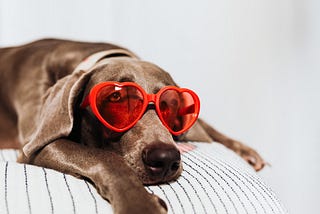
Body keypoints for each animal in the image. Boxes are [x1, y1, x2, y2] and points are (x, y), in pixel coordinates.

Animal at [0, 38, 264, 214]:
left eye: (172, 104)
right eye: (116, 98)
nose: (165, 159)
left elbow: (206, 126)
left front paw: (246, 151)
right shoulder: (32, 146)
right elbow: (104, 157)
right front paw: (140, 203)